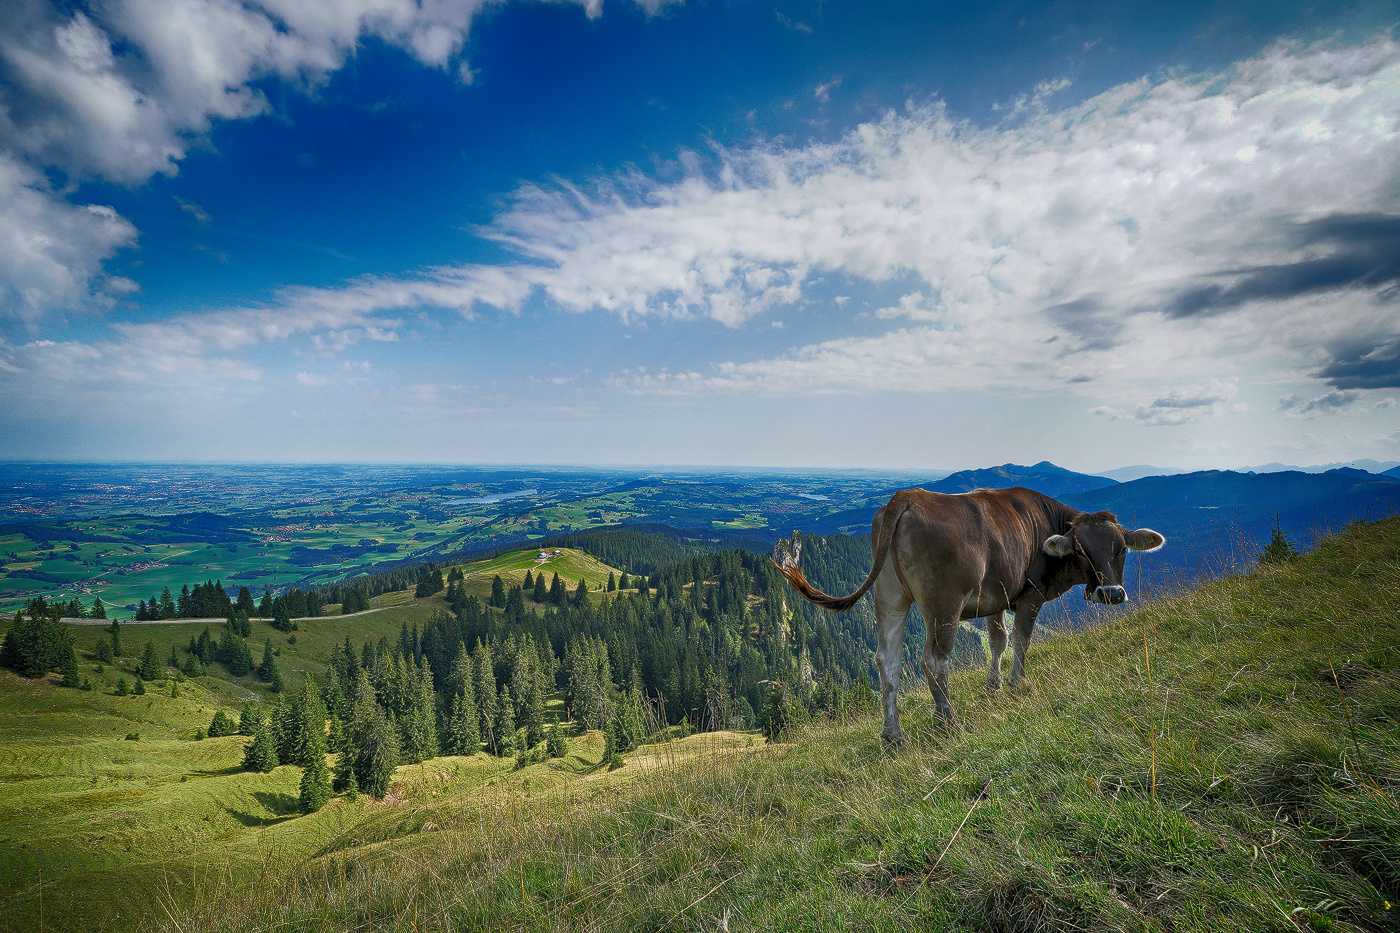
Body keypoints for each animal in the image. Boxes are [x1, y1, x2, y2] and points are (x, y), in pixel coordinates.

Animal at [772, 487, 1164, 739]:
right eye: (1081, 550)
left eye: (1121, 549)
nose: (1111, 593)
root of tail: (907, 496)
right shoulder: (1031, 594)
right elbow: (1021, 640)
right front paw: (1017, 683)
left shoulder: (996, 598)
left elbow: (997, 640)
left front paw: (993, 685)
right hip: (943, 603)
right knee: (934, 660)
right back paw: (948, 720)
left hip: (890, 596)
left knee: (888, 661)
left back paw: (892, 733)